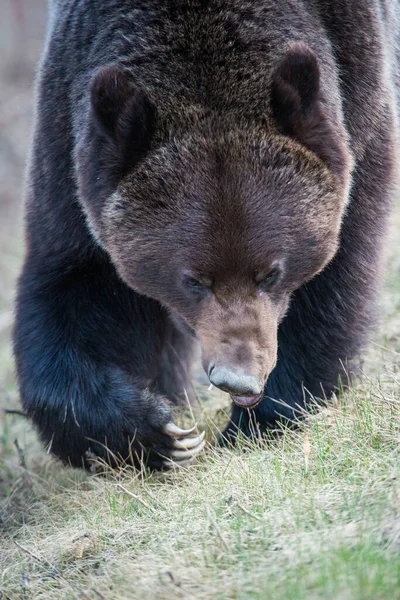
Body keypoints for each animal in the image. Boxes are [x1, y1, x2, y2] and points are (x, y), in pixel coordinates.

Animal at [12, 0, 396, 468]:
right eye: (193, 280)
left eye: (271, 273)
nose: (240, 380)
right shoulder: (70, 139)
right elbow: (76, 287)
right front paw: (159, 433)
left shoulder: (358, 90)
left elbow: (336, 278)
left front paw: (261, 421)